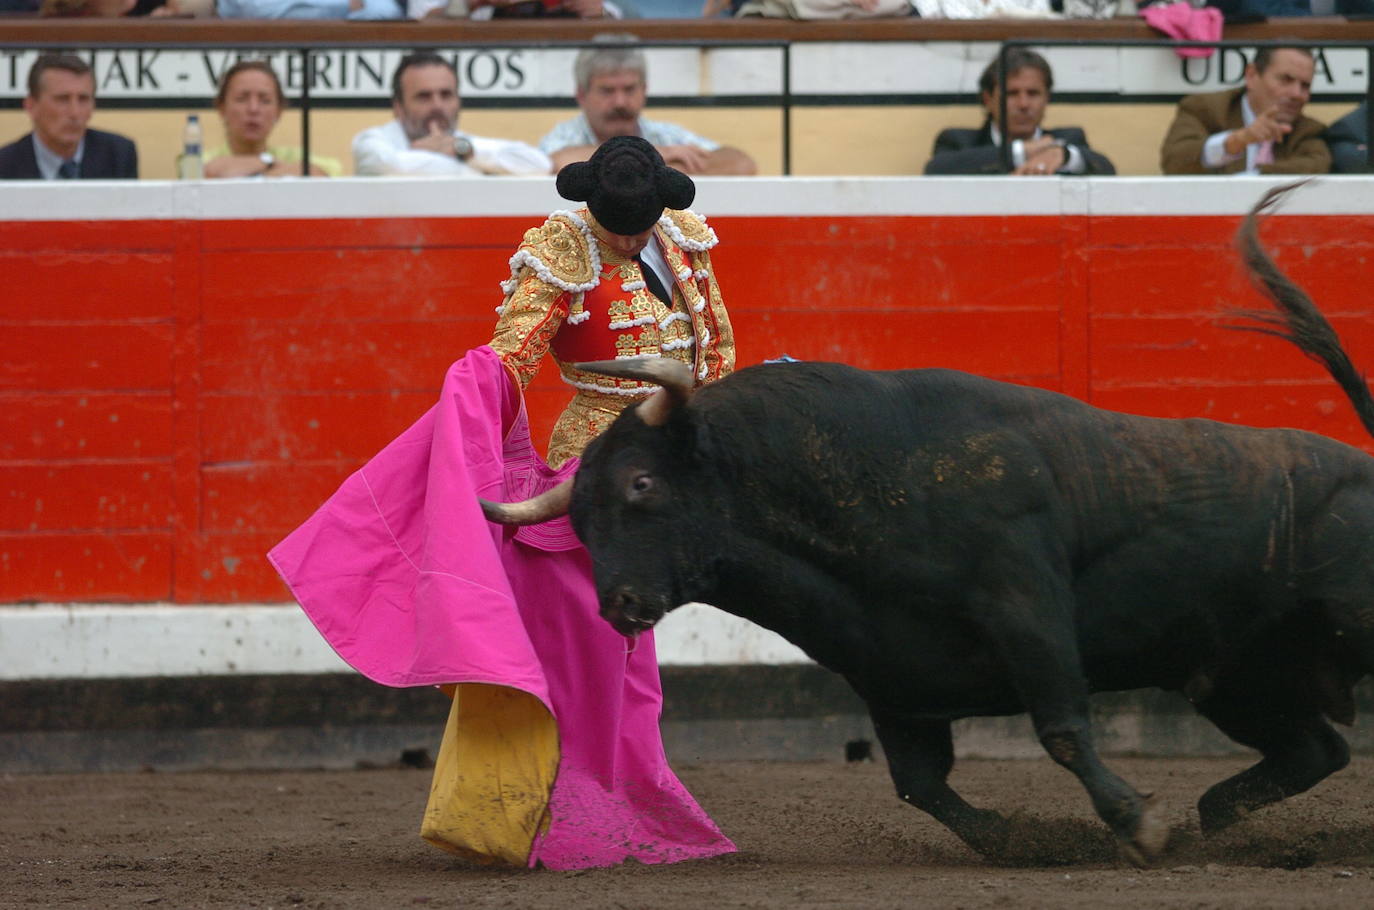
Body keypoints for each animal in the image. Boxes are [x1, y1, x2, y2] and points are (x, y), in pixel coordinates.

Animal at [480, 181, 1374, 868]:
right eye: (580, 522)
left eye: (641, 484)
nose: (620, 605)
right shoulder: (892, 677)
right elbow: (921, 784)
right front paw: (1025, 841)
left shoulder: (1029, 610)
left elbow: (1061, 729)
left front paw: (1141, 824)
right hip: (1238, 672)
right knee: (1315, 748)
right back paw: (1217, 821)